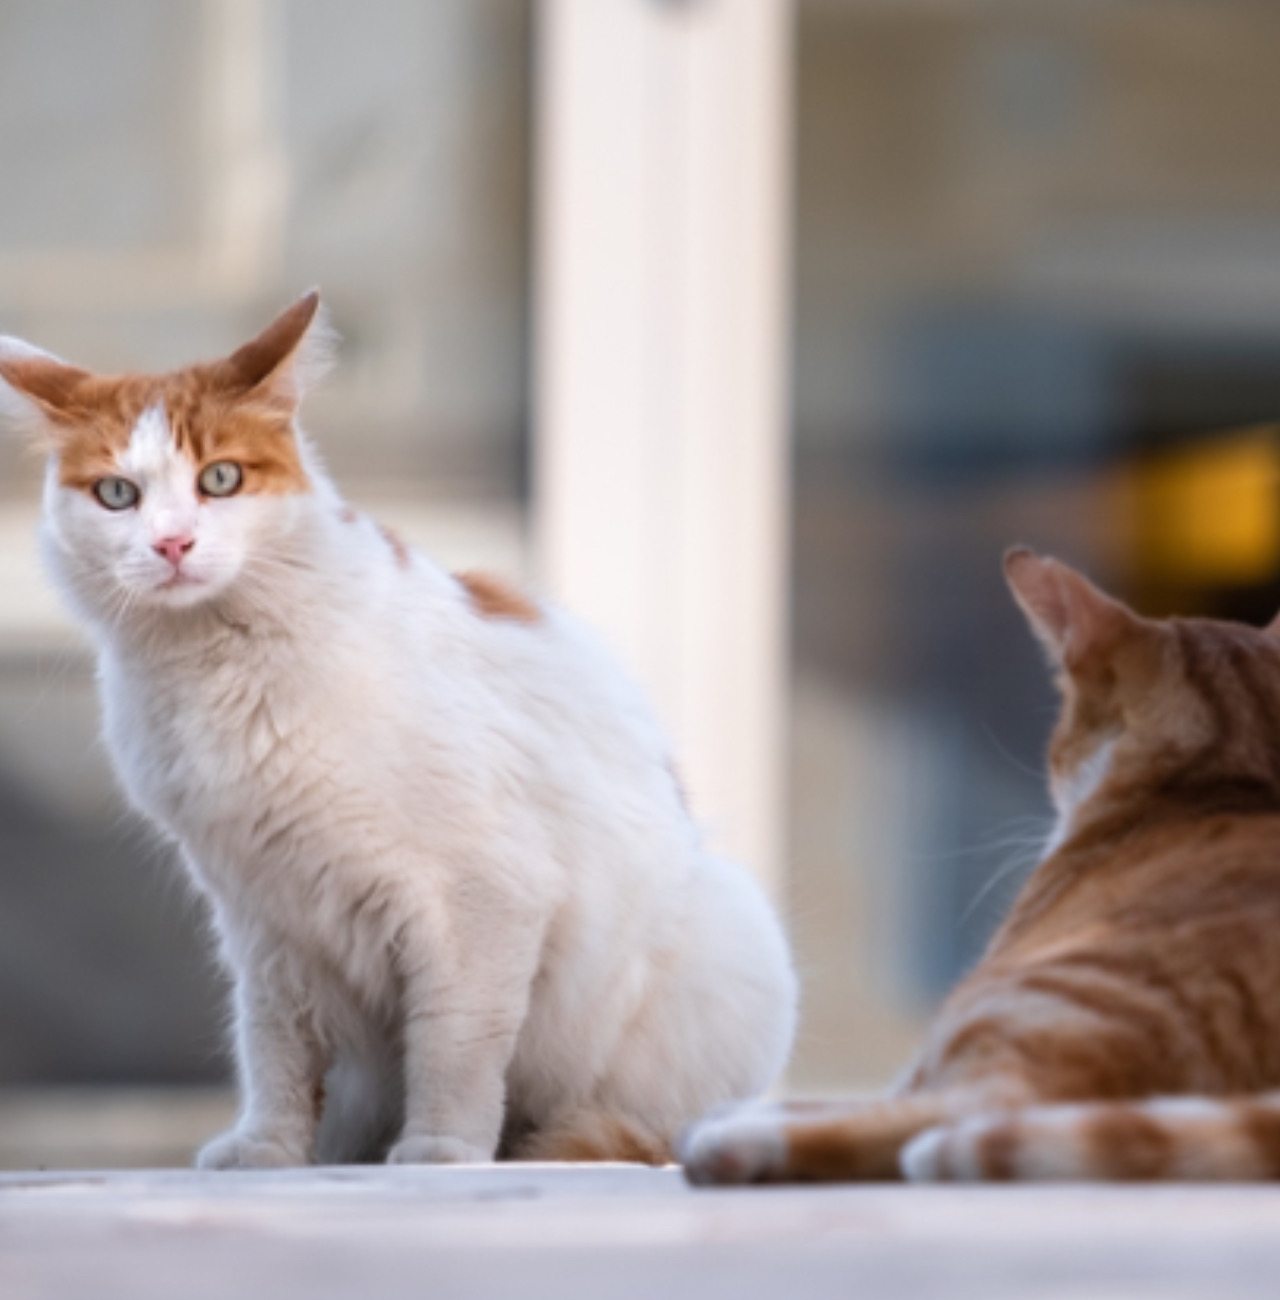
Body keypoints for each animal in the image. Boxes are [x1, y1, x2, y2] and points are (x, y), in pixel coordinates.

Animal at [0, 292, 795, 1170]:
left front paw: (441, 1150)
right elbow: (273, 1051)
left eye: (220, 479)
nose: (172, 543)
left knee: (641, 1128)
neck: (215, 665)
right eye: (117, 494)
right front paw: (270, 1148)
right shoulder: (263, 920)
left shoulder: (477, 899)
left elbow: (453, 1045)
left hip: (721, 944)